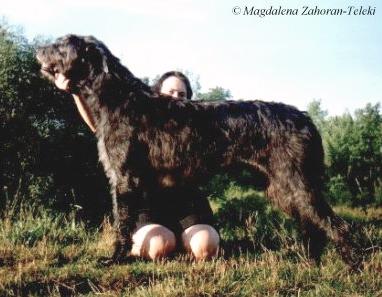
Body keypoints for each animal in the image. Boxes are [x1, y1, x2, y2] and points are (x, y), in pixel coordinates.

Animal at [35, 34, 362, 268]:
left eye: (62, 44)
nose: (37, 50)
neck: (117, 98)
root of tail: (306, 118)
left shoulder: (125, 179)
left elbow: (122, 224)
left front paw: (114, 258)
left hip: (296, 181)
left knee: (337, 225)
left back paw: (352, 266)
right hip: (282, 187)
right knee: (314, 225)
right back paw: (312, 262)